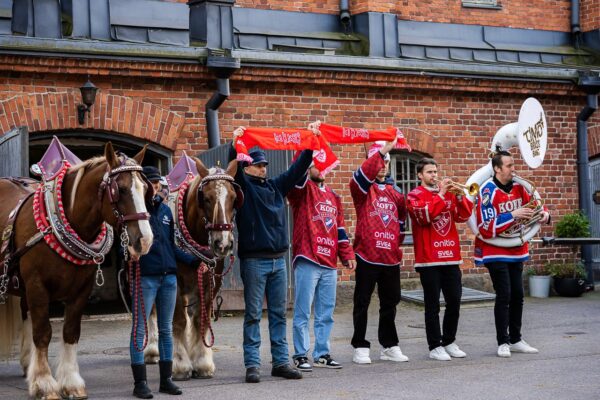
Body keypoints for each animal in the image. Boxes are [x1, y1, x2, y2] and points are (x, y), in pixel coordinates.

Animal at [0, 141, 153, 400]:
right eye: (120, 190)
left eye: (145, 190)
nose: (145, 240)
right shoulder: (37, 286)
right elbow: (43, 333)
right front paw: (44, 384)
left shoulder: (81, 290)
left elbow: (70, 332)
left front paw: (70, 383)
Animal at [143, 157, 241, 380]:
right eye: (206, 198)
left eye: (233, 197)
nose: (223, 243)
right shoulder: (175, 282)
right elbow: (179, 320)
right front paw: (181, 365)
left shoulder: (211, 282)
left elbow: (199, 320)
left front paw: (202, 363)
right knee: (152, 311)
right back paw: (153, 350)